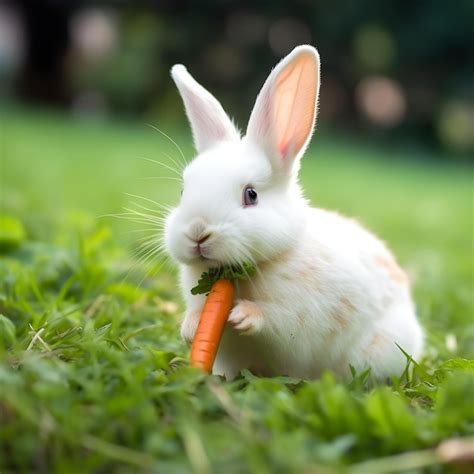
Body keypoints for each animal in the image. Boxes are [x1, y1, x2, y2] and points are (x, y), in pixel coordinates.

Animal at [165, 43, 424, 378]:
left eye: (251, 195)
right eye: (184, 191)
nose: (197, 232)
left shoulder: (305, 317)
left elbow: (280, 323)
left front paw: (244, 316)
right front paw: (191, 325)